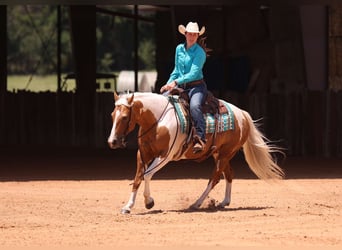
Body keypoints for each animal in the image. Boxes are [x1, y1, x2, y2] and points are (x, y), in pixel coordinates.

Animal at [107, 92, 284, 213]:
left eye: (124, 117)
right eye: (112, 115)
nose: (112, 141)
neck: (158, 120)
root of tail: (243, 114)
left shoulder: (165, 156)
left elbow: (147, 175)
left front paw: (149, 202)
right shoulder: (142, 154)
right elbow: (138, 178)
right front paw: (128, 206)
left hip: (226, 154)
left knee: (214, 178)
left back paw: (197, 203)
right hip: (220, 154)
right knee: (229, 174)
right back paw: (224, 202)